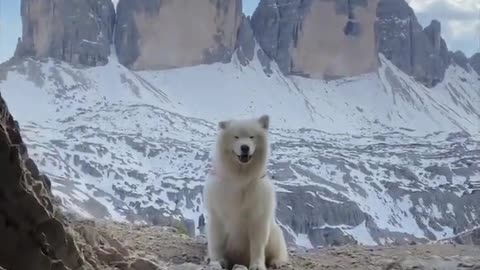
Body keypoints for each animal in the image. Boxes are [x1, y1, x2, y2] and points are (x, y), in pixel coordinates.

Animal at [202, 115, 286, 268]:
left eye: (252, 137)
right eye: (236, 137)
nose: (245, 147)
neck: (240, 179)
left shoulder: (258, 216)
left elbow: (257, 245)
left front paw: (257, 265)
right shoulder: (217, 214)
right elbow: (216, 242)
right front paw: (216, 261)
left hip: (275, 233)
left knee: (278, 251)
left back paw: (277, 262)